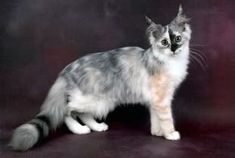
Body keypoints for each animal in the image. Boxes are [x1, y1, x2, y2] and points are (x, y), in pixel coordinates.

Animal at [10, 5, 192, 151]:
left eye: (178, 38)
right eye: (164, 42)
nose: (174, 49)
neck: (171, 62)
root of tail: (66, 70)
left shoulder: (155, 100)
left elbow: (155, 119)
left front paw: (157, 132)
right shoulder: (161, 99)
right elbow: (167, 118)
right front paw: (170, 134)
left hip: (99, 101)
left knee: (83, 114)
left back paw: (97, 127)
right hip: (92, 99)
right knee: (67, 111)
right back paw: (79, 130)